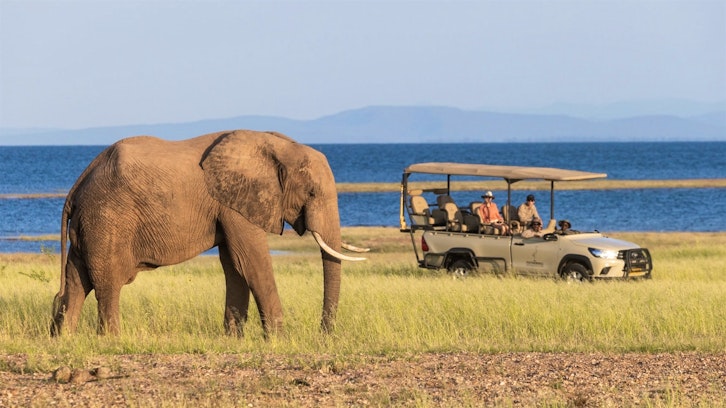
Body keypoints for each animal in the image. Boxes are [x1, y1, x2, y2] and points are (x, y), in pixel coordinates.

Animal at [50, 130, 366, 337]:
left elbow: (235, 265)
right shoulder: (236, 203)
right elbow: (251, 262)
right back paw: (111, 340)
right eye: (311, 193)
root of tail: (76, 187)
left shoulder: (229, 205)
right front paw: (278, 339)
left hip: (89, 225)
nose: (323, 334)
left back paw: (65, 338)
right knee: (108, 284)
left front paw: (234, 339)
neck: (277, 146)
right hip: (107, 220)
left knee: (77, 282)